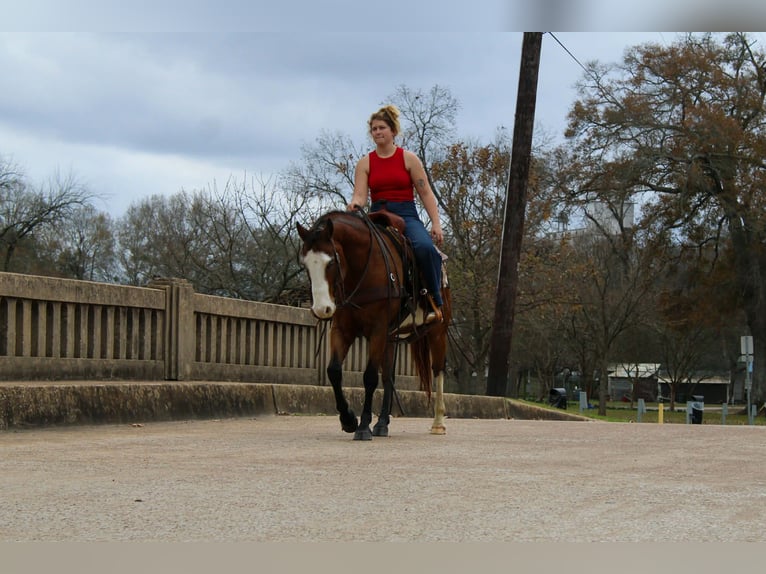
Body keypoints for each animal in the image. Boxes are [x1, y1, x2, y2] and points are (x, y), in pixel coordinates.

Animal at [296, 208, 451, 440]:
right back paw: (382, 423)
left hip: (438, 330)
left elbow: (369, 376)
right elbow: (334, 371)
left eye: (331, 262)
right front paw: (349, 420)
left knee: (438, 369)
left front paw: (362, 426)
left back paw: (438, 423)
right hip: (391, 337)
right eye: (305, 264)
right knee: (388, 376)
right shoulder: (342, 330)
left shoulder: (378, 329)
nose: (322, 309)